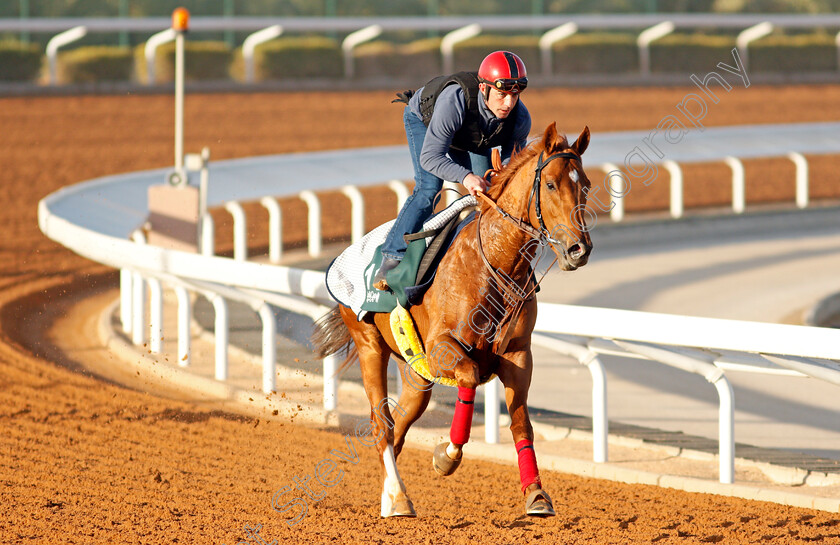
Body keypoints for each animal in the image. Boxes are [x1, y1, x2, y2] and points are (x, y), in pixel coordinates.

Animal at [312, 123, 592, 520]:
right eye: (551, 184)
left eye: (585, 185)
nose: (579, 249)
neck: (495, 264)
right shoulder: (444, 349)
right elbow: (470, 379)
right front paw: (446, 456)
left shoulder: (519, 356)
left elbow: (521, 422)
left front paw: (537, 493)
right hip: (370, 345)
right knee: (382, 424)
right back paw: (397, 498)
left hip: (416, 374)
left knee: (400, 424)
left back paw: (392, 493)